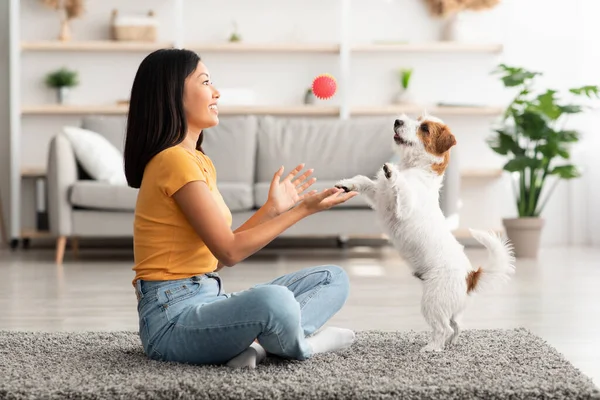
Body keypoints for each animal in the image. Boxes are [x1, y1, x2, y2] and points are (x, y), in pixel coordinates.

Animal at [336, 114, 512, 352]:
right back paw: (450, 343)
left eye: (425, 128)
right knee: (457, 325)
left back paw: (432, 348)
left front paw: (392, 172)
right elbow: (364, 180)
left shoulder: (404, 206)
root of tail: (470, 276)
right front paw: (347, 184)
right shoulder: (379, 195)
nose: (397, 120)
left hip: (432, 302)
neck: (414, 168)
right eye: (416, 119)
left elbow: (401, 187)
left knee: (444, 328)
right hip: (448, 308)